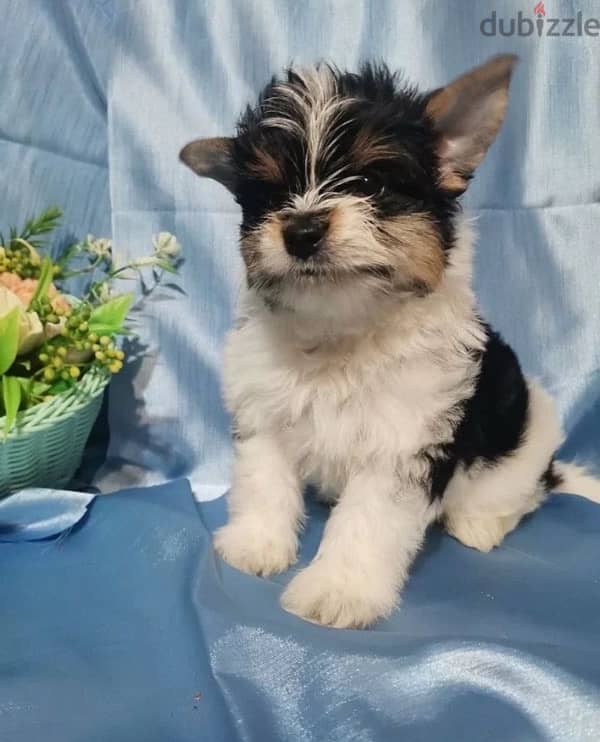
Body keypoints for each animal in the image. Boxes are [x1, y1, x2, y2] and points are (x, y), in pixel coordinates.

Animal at [179, 55, 600, 632]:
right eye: (272, 197)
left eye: (369, 183)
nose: (301, 230)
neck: (343, 330)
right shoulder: (264, 412)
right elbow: (264, 477)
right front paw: (256, 543)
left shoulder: (406, 440)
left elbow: (370, 518)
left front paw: (338, 589)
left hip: (521, 440)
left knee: (517, 493)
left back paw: (479, 525)